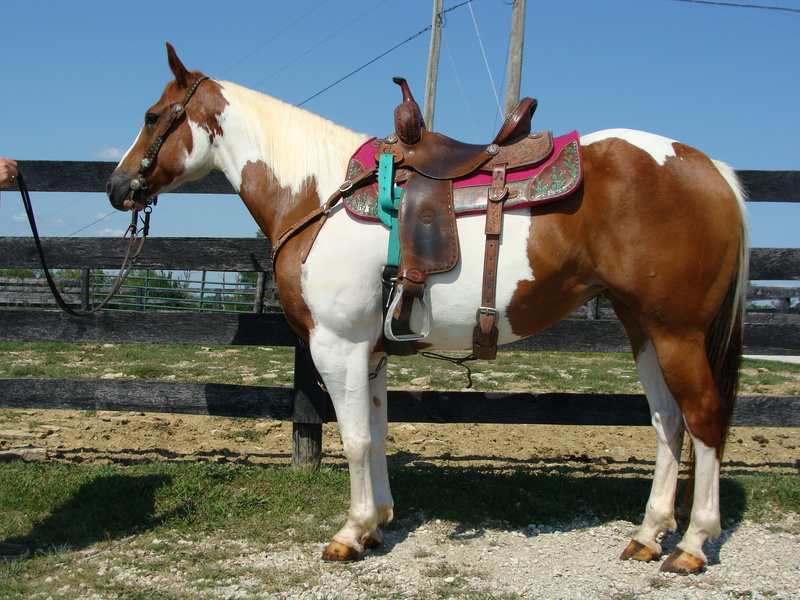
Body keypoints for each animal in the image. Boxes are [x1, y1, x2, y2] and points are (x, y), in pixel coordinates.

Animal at [107, 44, 748, 574]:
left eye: (151, 116)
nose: (117, 187)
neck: (319, 196)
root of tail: (708, 167)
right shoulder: (370, 351)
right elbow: (377, 431)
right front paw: (378, 525)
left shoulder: (337, 345)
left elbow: (355, 439)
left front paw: (350, 534)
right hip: (644, 330)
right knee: (668, 423)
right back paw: (648, 535)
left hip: (677, 333)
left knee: (704, 419)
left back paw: (692, 545)